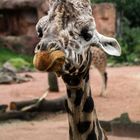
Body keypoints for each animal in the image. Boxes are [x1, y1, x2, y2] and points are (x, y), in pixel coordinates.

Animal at [33, 0, 121, 139]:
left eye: (87, 34)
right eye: (39, 32)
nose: (44, 57)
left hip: (100, 64)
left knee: (105, 75)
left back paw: (104, 93)